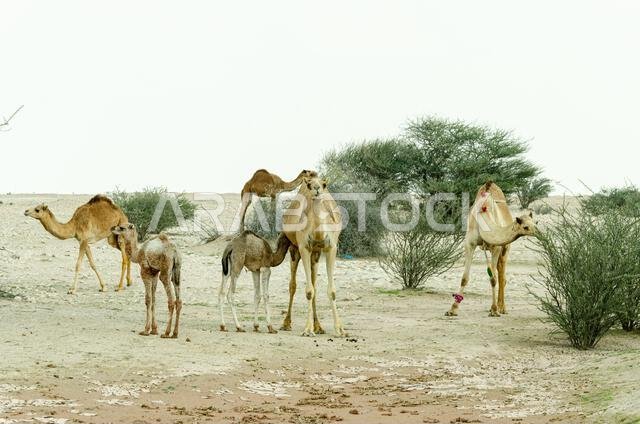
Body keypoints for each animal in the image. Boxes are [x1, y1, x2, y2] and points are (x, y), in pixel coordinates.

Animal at [280, 175, 346, 337]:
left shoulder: (331, 248)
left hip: (316, 255)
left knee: (314, 284)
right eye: (309, 185)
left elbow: (331, 291)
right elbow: (309, 291)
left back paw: (319, 327)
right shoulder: (304, 247)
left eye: (324, 184)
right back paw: (286, 323)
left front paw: (340, 329)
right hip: (294, 249)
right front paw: (307, 330)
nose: (316, 189)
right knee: (293, 285)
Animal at [445, 181, 535, 317]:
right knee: (499, 274)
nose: (537, 232)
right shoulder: (469, 243)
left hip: (505, 248)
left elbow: (493, 279)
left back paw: (502, 308)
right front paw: (452, 309)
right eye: (526, 227)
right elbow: (465, 278)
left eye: (536, 223)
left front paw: (494, 310)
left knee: (502, 276)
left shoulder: (496, 247)